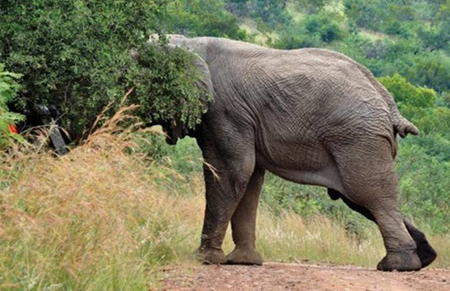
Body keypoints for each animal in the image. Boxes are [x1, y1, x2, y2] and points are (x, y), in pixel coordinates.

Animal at [147, 35, 436, 272]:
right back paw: (425, 257)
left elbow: (231, 171)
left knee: (367, 194)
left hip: (357, 140)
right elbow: (250, 179)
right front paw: (244, 261)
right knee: (362, 199)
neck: (187, 43)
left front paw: (204, 259)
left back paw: (398, 265)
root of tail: (387, 101)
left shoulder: (224, 112)